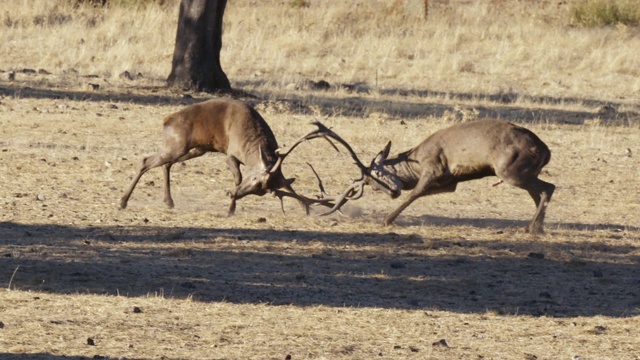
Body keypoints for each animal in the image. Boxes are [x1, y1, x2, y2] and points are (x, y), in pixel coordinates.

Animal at [118, 98, 336, 215]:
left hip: (195, 149)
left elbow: (289, 186)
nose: (233, 194)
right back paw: (123, 202)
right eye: (253, 179)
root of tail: (166, 121)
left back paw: (169, 201)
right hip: (177, 145)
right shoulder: (230, 153)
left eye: (262, 192)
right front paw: (230, 209)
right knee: (146, 160)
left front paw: (307, 209)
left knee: (166, 164)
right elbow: (237, 177)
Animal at [306, 119, 556, 235]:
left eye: (376, 175)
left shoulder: (432, 167)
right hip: (523, 172)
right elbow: (423, 193)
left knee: (549, 187)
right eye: (373, 187)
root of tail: (545, 151)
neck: (414, 164)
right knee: (540, 192)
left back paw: (532, 227)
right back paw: (535, 227)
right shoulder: (449, 182)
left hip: (510, 170)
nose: (393, 191)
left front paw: (386, 220)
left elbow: (414, 194)